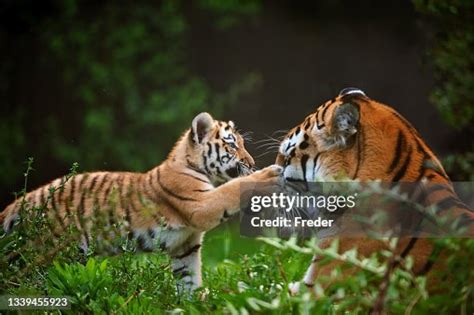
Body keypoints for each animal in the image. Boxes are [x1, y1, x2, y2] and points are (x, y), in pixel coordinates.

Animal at [0, 112, 282, 292]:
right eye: (232, 145)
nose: (252, 163)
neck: (192, 164)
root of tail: (20, 203)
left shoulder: (186, 245)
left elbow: (189, 279)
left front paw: (194, 304)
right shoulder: (201, 205)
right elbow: (233, 188)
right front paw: (268, 174)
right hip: (43, 255)